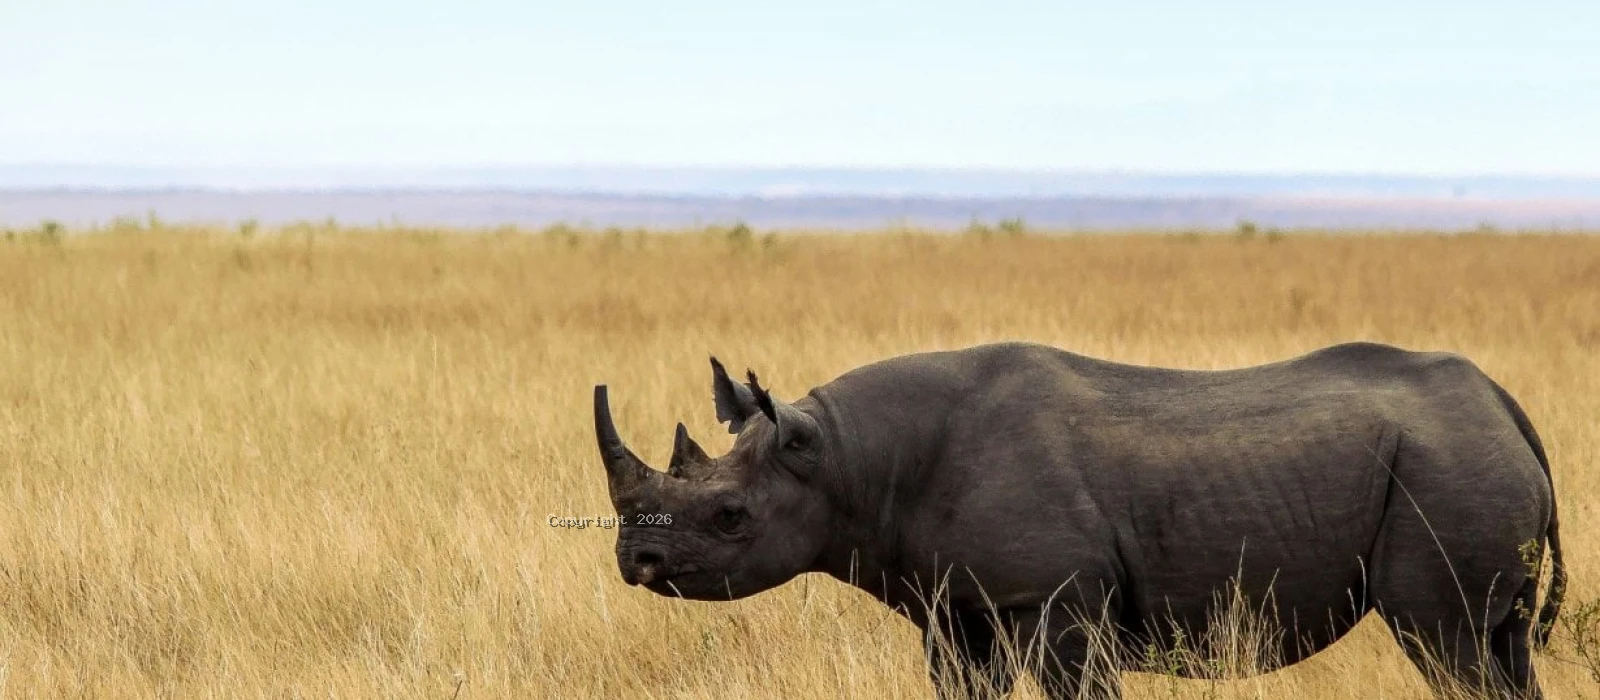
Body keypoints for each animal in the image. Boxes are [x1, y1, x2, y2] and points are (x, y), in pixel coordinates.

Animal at [592, 341, 1565, 699]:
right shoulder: (954, 607)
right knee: (1501, 650)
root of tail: (1505, 406)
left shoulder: (1055, 598)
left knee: (1446, 646)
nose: (637, 562)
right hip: (1461, 461)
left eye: (729, 515)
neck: (845, 458)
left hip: (1445, 470)